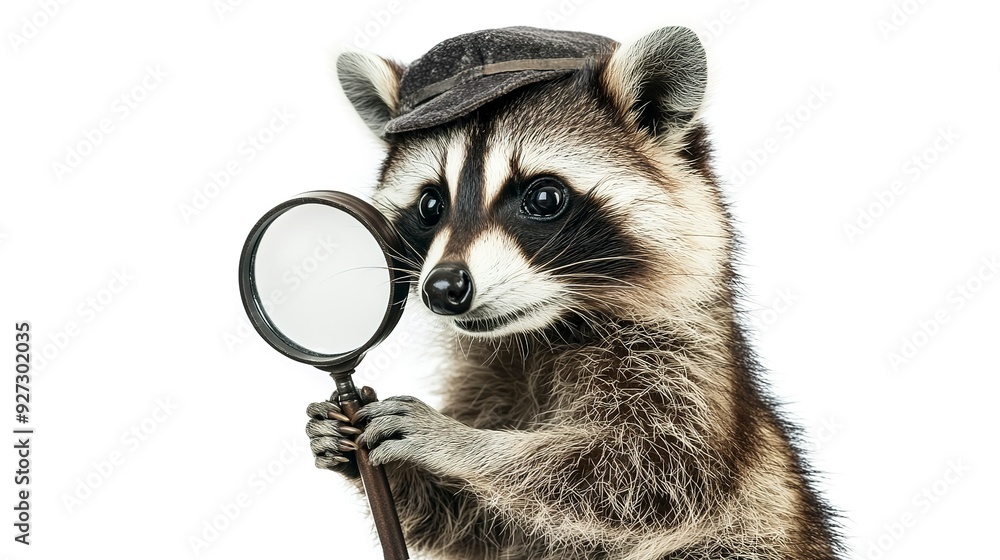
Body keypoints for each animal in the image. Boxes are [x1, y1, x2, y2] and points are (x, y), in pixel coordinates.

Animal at [306, 26, 842, 560]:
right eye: (431, 205)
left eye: (544, 197)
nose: (443, 287)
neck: (544, 333)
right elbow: (474, 521)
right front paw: (363, 453)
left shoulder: (691, 372)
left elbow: (649, 470)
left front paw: (460, 443)